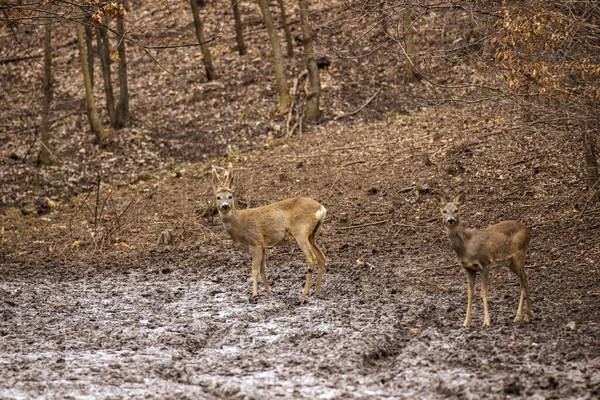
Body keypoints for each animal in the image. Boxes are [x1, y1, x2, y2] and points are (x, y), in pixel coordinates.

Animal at [209, 162, 326, 296]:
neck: (239, 224)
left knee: (312, 258)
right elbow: (262, 268)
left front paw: (254, 294)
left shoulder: (255, 242)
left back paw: (305, 292)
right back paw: (317, 290)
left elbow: (254, 270)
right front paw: (268, 289)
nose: (225, 206)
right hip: (311, 234)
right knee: (322, 257)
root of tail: (321, 209)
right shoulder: (263, 245)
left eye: (230, 196)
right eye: (218, 197)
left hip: (301, 231)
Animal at [434, 192, 532, 326]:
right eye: (444, 211)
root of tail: (528, 231)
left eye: (456, 210)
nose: (450, 220)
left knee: (524, 281)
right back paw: (518, 317)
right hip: (511, 262)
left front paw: (486, 321)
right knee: (524, 278)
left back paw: (526, 316)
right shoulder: (469, 269)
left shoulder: (484, 264)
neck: (467, 247)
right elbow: (470, 293)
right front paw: (466, 322)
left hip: (519, 254)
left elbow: (484, 292)